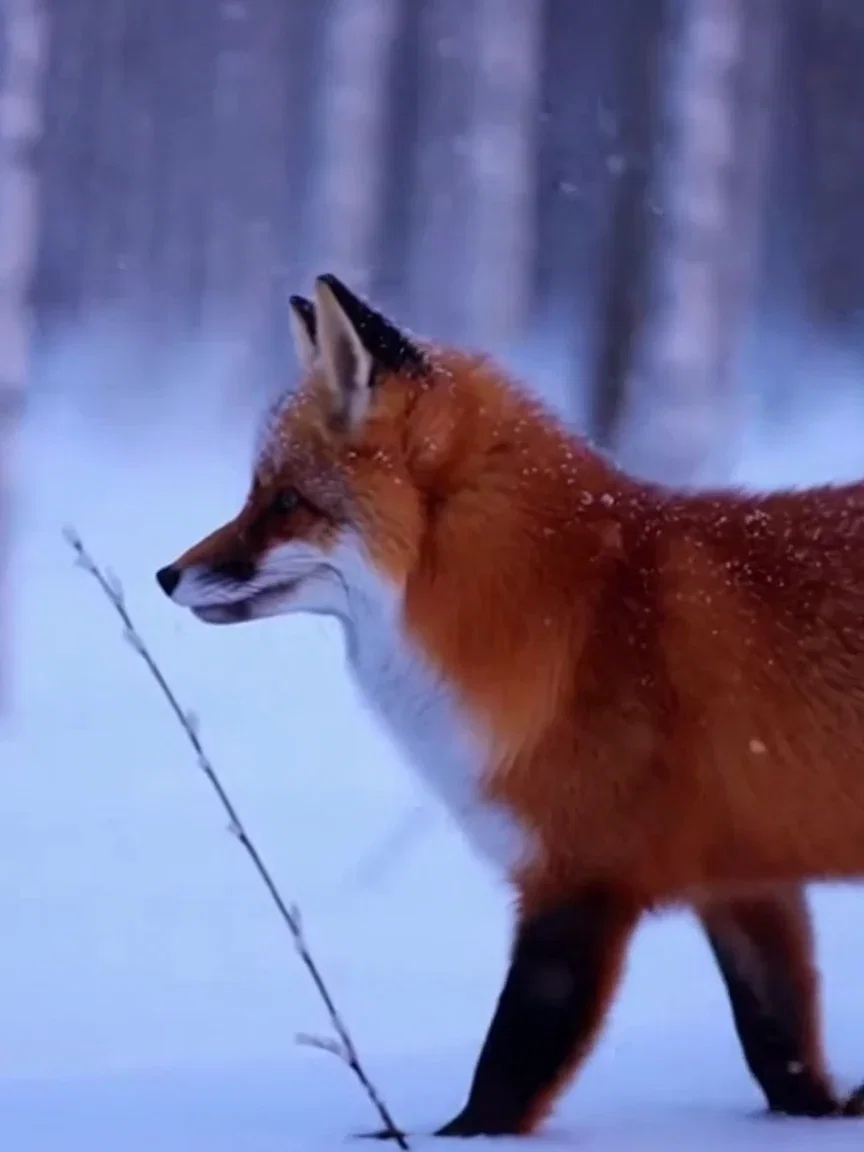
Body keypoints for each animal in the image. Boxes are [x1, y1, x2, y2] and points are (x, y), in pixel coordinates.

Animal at [156, 273, 864, 1136]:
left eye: (286, 501)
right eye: (255, 494)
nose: (164, 575)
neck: (580, 616)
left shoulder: (581, 874)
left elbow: (513, 1058)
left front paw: (444, 1140)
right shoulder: (745, 881)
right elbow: (778, 1041)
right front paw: (826, 1113)